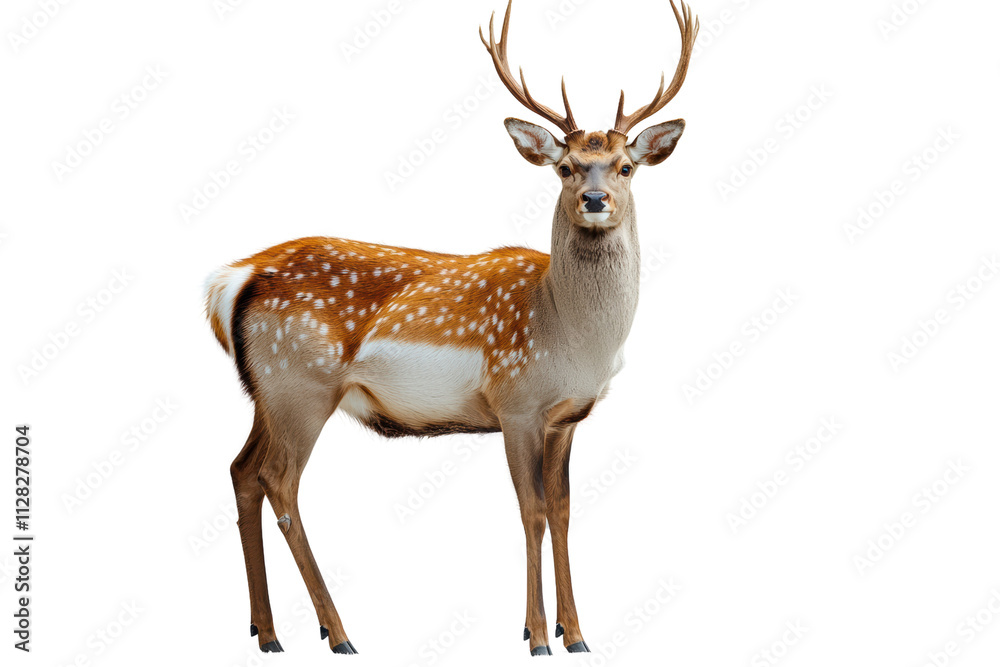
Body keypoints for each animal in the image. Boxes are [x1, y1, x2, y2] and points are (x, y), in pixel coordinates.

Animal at [205, 0, 698, 656]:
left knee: (241, 470)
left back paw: (267, 633)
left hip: (265, 391)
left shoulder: (567, 417)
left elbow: (564, 512)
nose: (595, 200)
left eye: (625, 167)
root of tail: (236, 277)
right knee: (279, 481)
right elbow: (531, 511)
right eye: (565, 168)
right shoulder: (516, 402)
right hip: (300, 384)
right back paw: (338, 632)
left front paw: (576, 634)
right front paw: (536, 636)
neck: (573, 339)